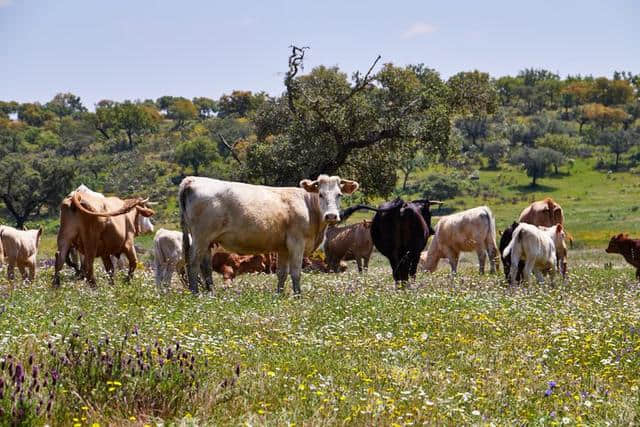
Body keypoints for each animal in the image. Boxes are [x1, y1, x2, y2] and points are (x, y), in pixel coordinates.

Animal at [179, 174, 360, 294]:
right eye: (320, 194)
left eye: (339, 195)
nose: (331, 216)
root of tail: (192, 180)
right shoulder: (297, 242)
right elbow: (296, 271)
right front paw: (297, 295)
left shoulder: (283, 248)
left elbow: (282, 273)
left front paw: (279, 294)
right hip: (201, 237)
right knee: (193, 262)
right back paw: (195, 293)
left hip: (208, 241)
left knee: (206, 266)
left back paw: (210, 292)